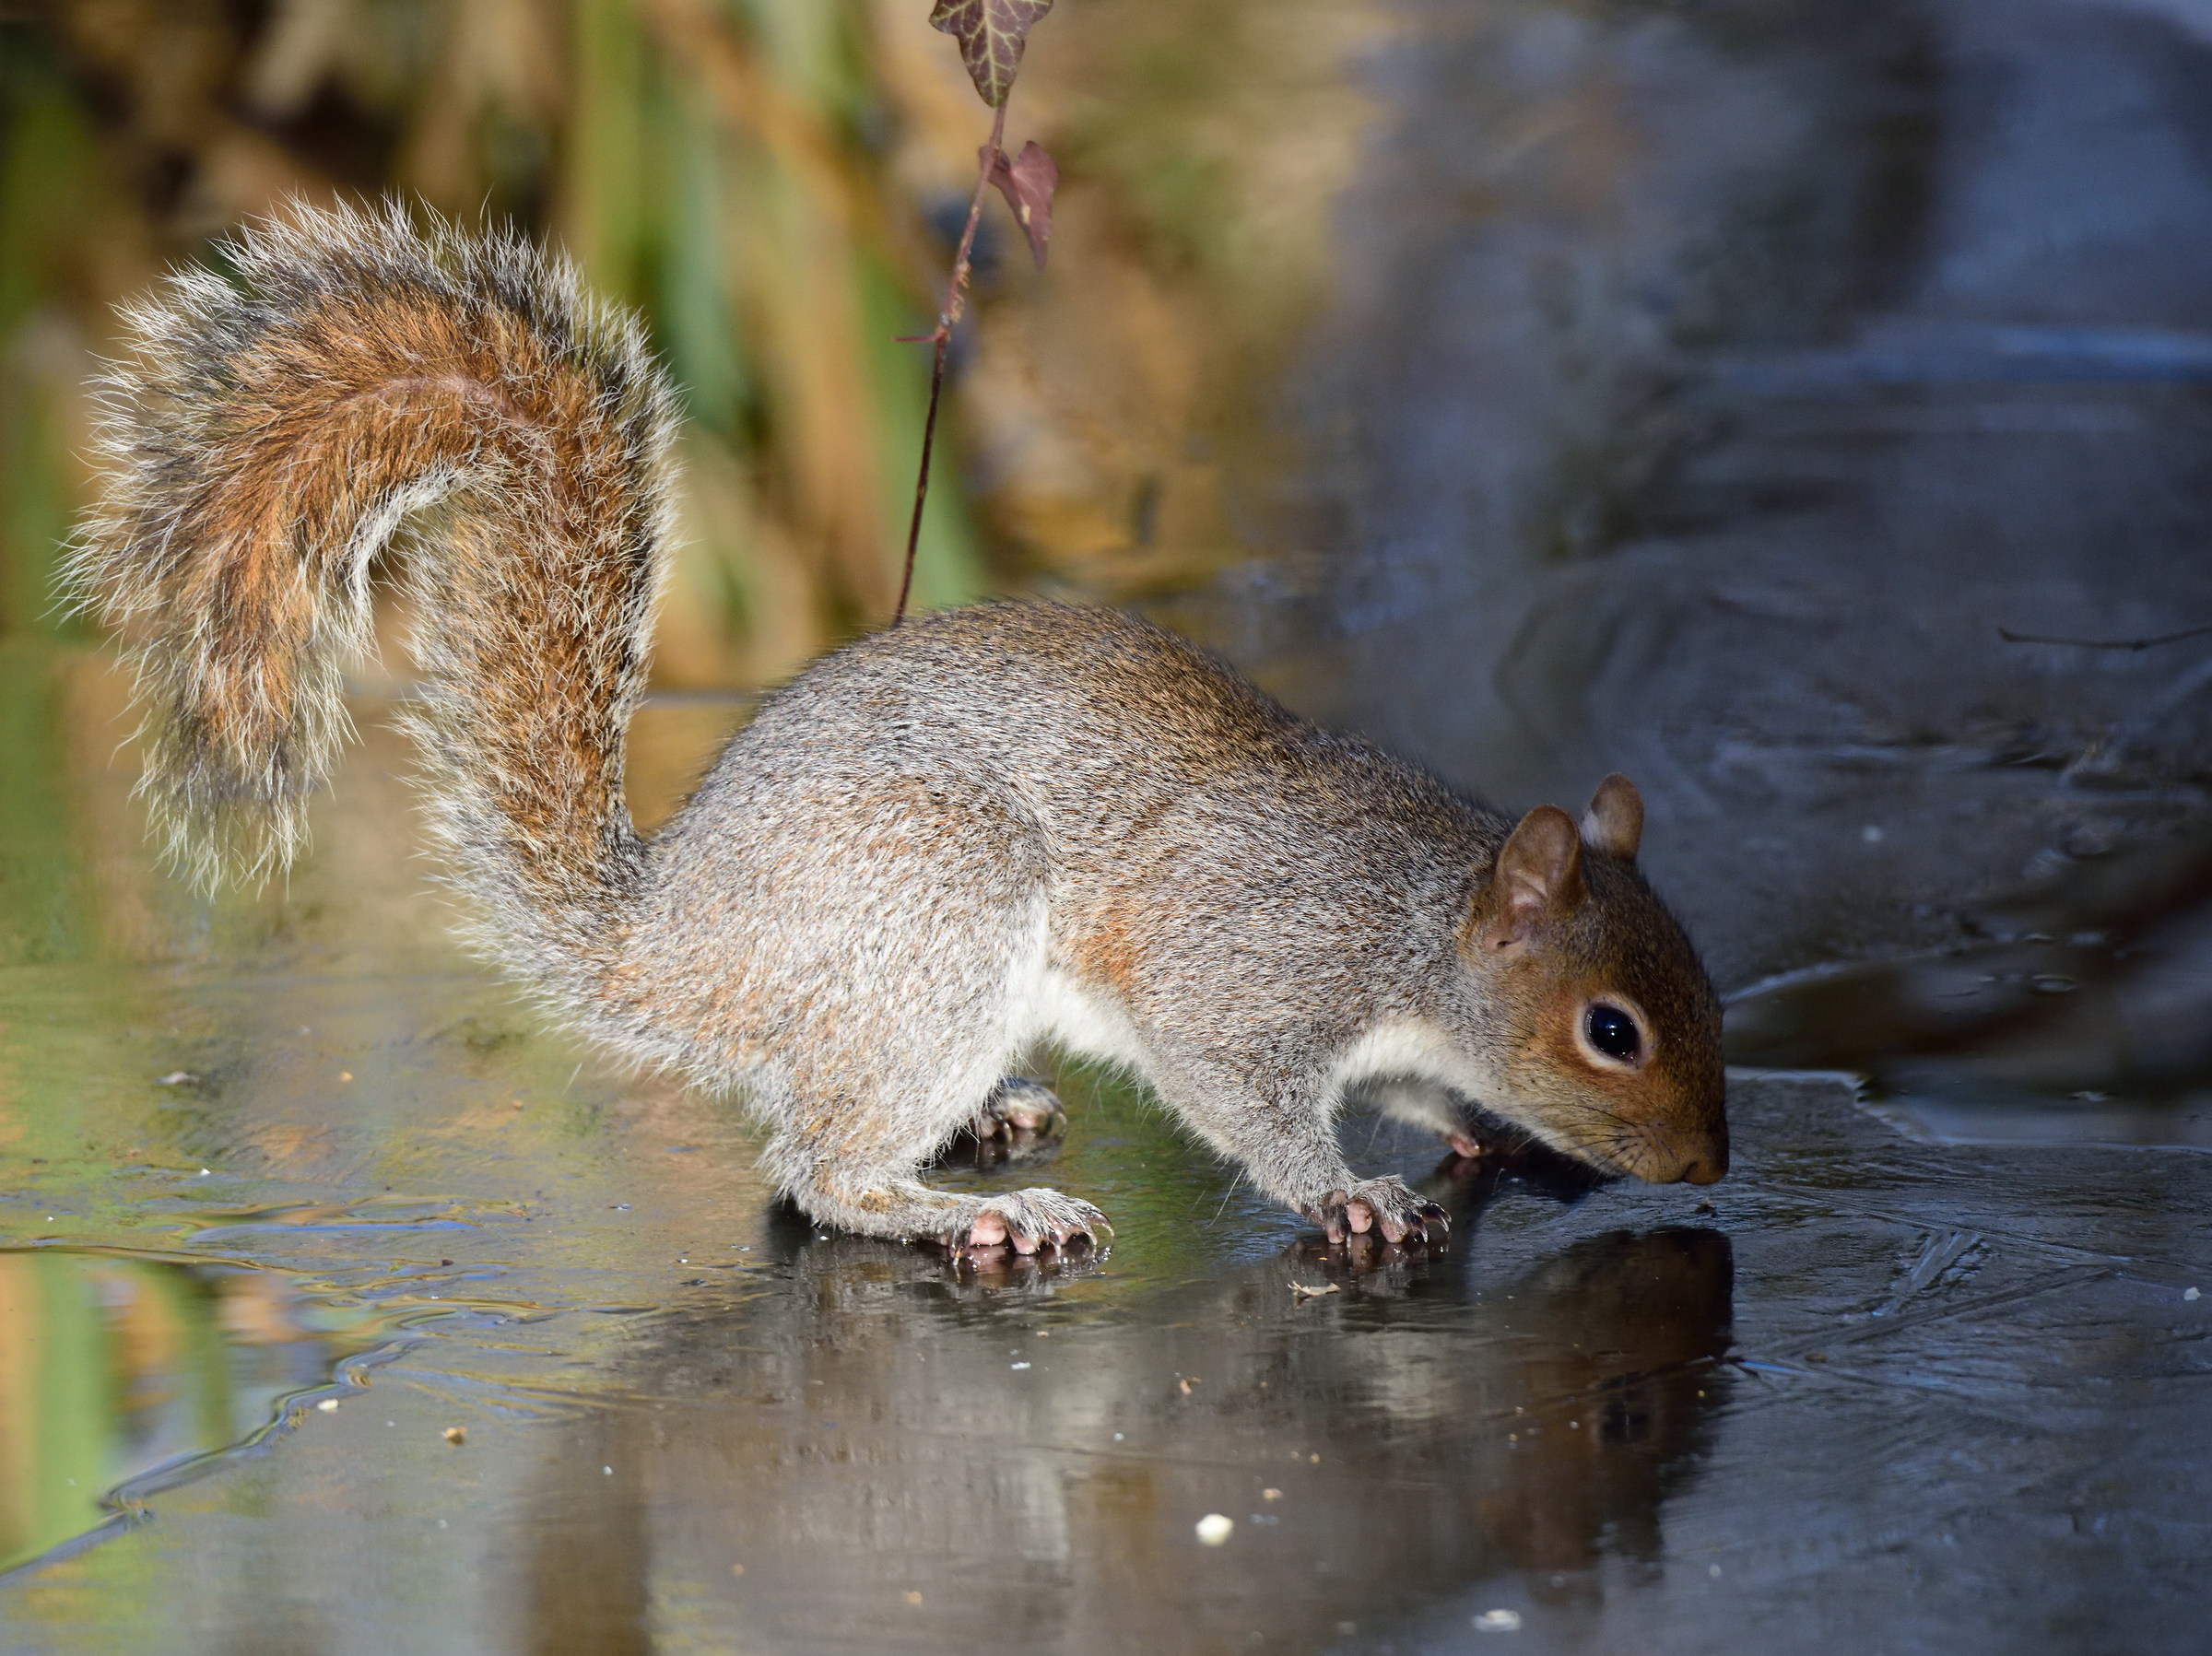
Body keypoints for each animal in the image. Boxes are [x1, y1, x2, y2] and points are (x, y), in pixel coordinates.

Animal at [70, 203, 1727, 1256]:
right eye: (1613, 1030)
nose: (1710, 1166)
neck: (1417, 923)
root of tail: (665, 945)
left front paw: (1483, 1131)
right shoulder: (1249, 975)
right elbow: (1244, 1098)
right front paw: (1350, 1192)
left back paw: (987, 1128)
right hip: (935, 915)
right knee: (818, 1173)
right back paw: (975, 1215)